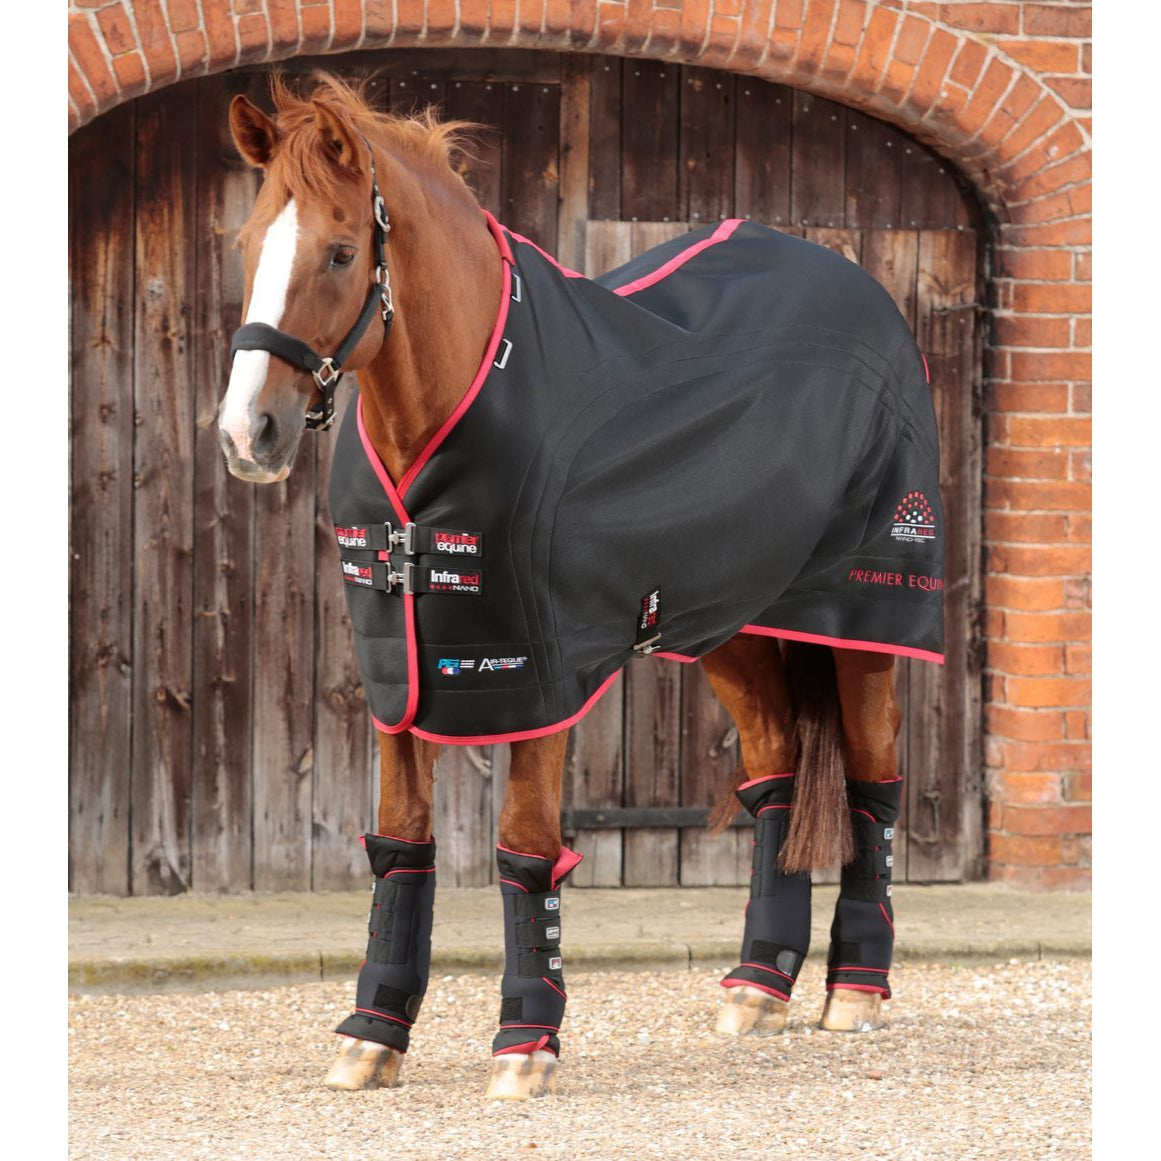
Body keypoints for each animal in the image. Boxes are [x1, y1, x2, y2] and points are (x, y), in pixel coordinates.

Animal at [217, 74, 944, 1100]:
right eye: (248, 245)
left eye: (340, 250)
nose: (249, 435)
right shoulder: (399, 671)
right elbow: (400, 843)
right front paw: (372, 1032)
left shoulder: (538, 675)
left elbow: (525, 847)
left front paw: (525, 1042)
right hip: (728, 624)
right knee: (774, 774)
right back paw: (755, 985)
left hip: (869, 617)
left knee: (873, 783)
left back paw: (855, 988)